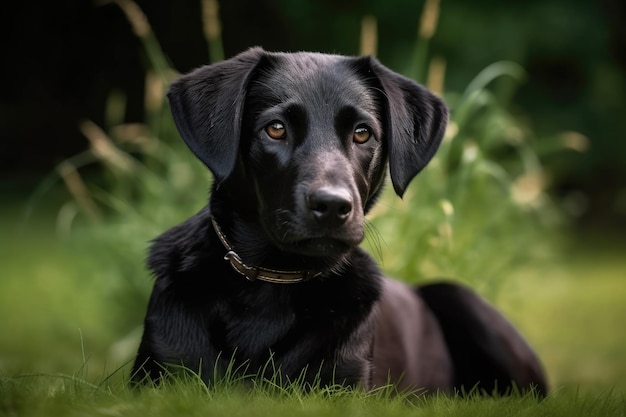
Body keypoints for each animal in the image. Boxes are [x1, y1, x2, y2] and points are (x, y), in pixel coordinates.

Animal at [132, 47, 544, 394]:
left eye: (362, 133)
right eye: (276, 128)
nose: (332, 205)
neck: (273, 281)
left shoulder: (340, 386)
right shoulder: (162, 372)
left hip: (465, 301)